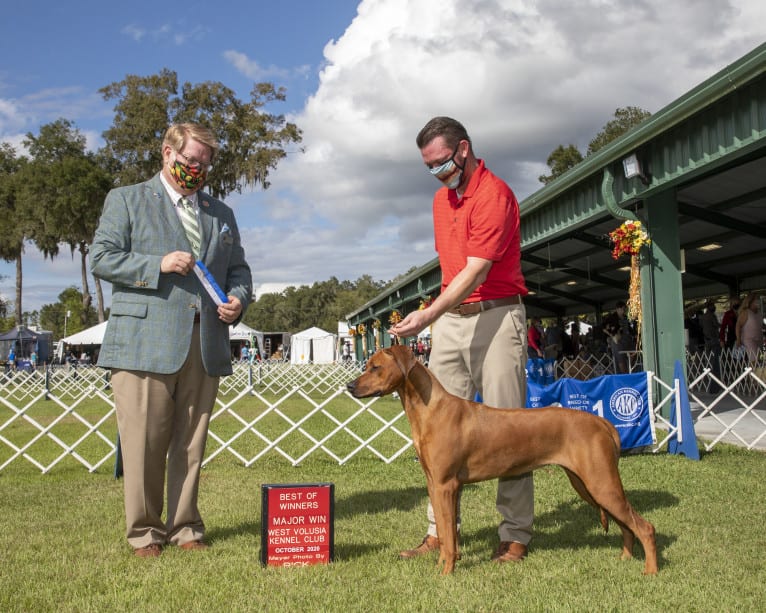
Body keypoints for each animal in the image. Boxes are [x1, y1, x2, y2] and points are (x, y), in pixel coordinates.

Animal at [348, 346, 660, 576]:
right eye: (366, 366)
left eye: (375, 367)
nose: (350, 386)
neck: (431, 409)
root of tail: (602, 422)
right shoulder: (436, 485)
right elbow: (447, 534)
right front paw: (442, 565)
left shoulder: (445, 485)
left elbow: (448, 538)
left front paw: (446, 574)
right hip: (587, 485)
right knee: (627, 525)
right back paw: (624, 558)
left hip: (600, 483)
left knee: (644, 527)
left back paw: (651, 571)